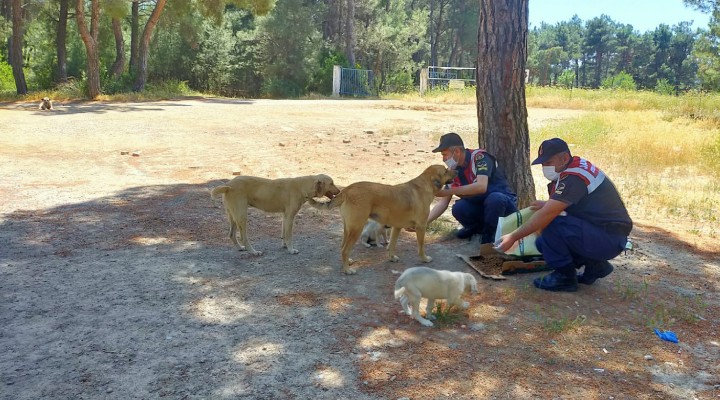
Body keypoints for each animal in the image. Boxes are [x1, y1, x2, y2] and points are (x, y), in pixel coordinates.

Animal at [211, 175, 340, 256]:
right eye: (332, 183)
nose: (339, 192)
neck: (302, 186)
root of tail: (229, 185)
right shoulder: (290, 216)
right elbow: (289, 235)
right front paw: (291, 250)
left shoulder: (285, 216)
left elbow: (283, 233)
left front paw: (285, 246)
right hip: (242, 216)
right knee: (243, 237)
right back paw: (253, 252)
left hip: (233, 216)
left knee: (231, 234)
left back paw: (240, 248)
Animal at [308, 164, 456, 274]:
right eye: (446, 170)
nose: (457, 171)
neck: (425, 185)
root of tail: (346, 190)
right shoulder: (421, 227)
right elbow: (421, 246)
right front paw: (424, 259)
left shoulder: (396, 227)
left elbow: (392, 245)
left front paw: (391, 258)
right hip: (357, 229)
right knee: (345, 249)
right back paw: (347, 270)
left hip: (348, 229)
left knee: (342, 247)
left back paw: (348, 262)